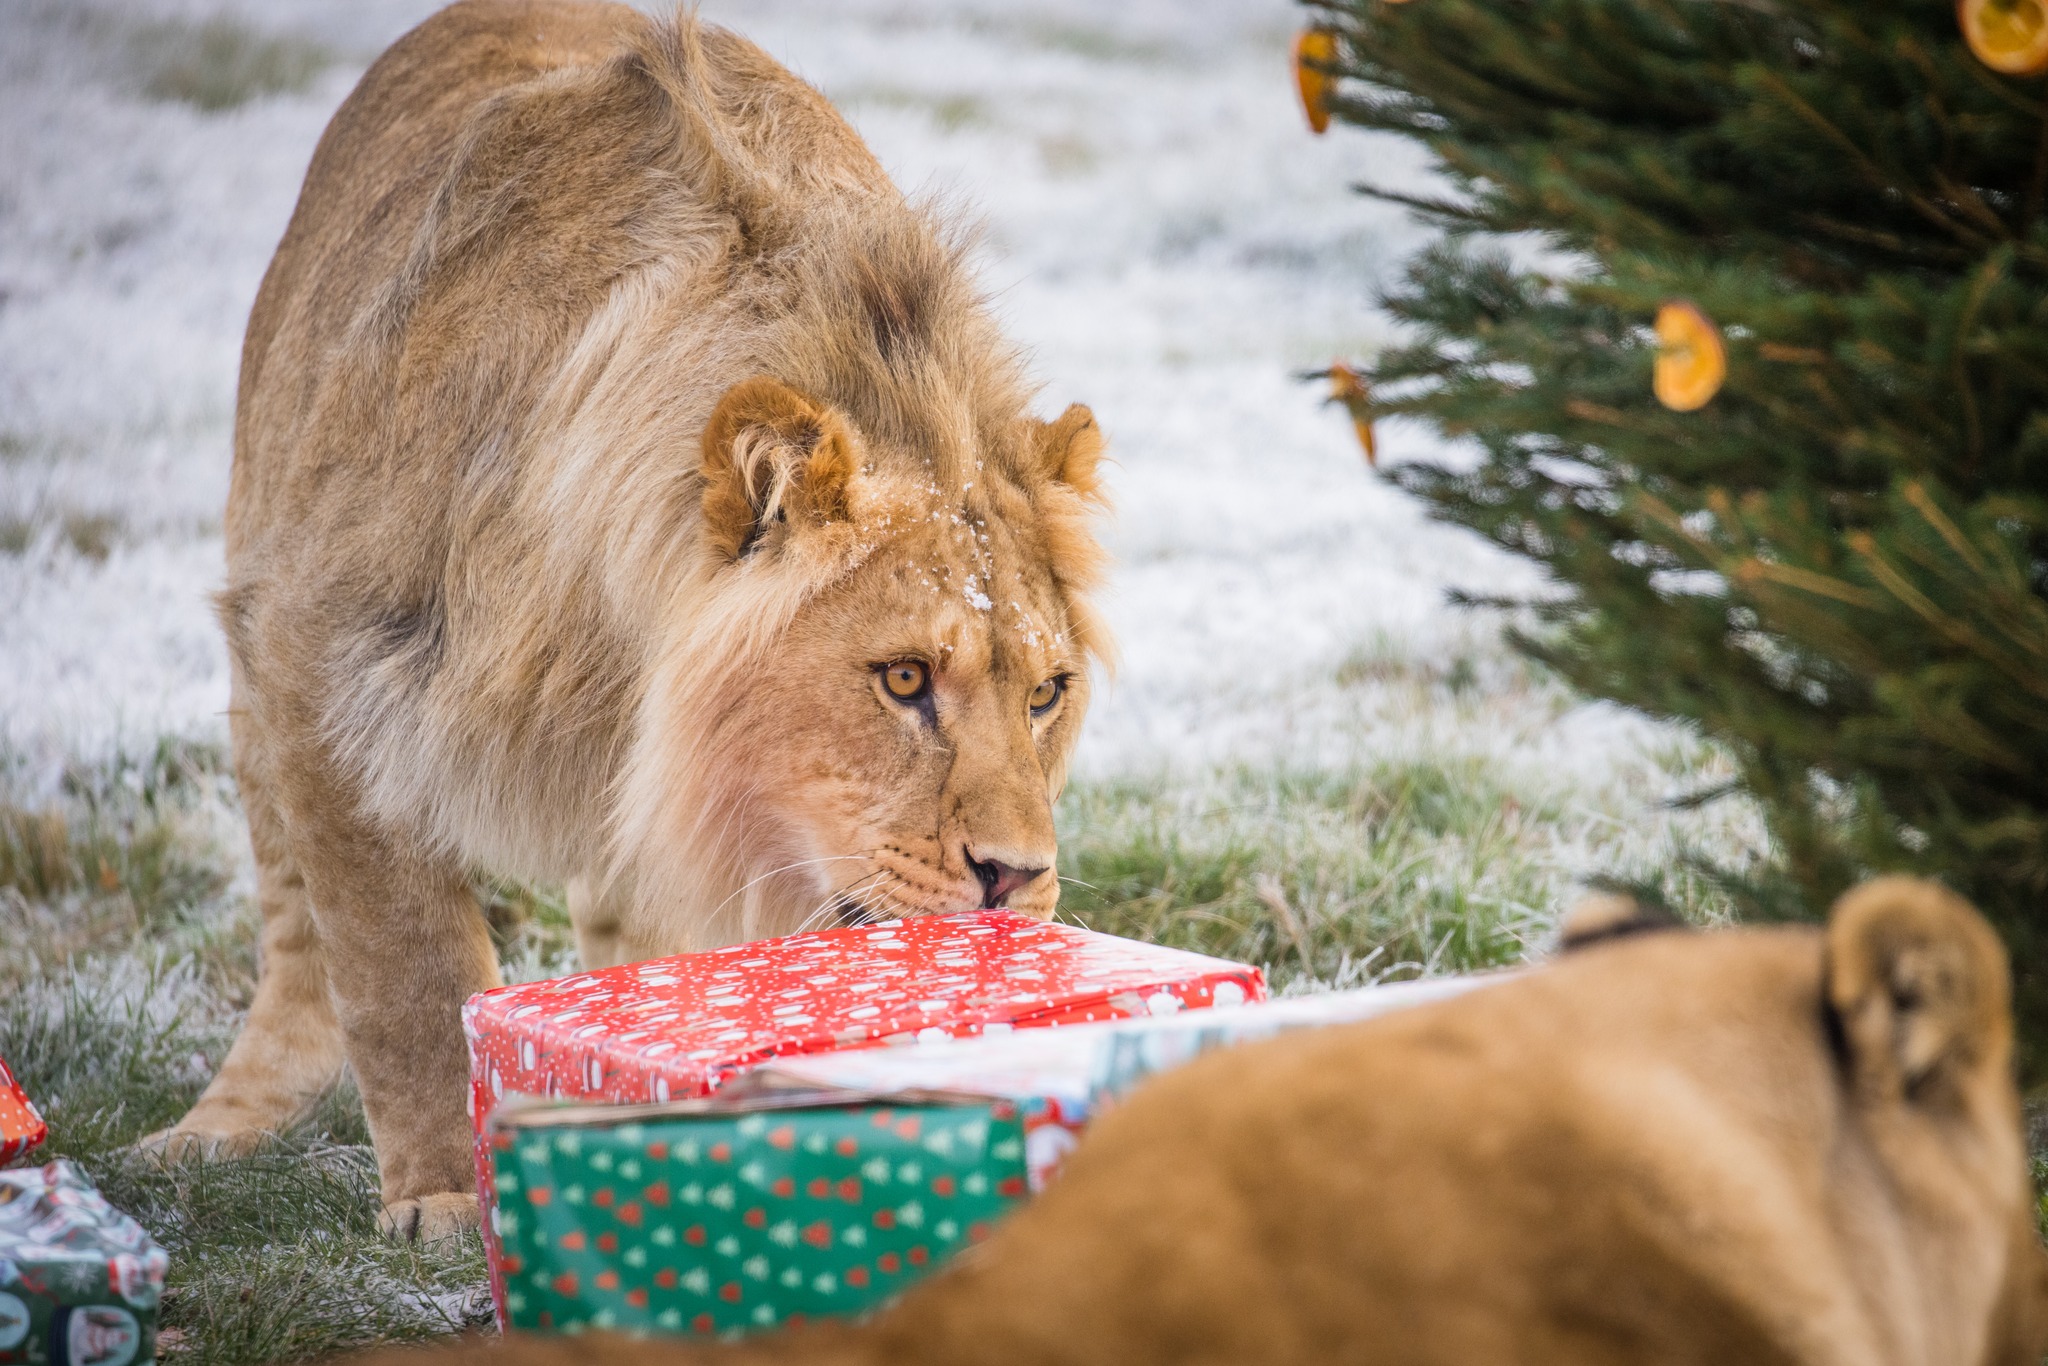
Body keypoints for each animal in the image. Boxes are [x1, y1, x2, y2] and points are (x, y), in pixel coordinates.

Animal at [155, 0, 1122, 1236]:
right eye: (903, 678)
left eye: (1045, 693)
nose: (1018, 878)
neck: (626, 654)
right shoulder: (321, 654)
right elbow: (401, 963)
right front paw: (449, 1192)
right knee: (292, 923)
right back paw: (214, 1132)